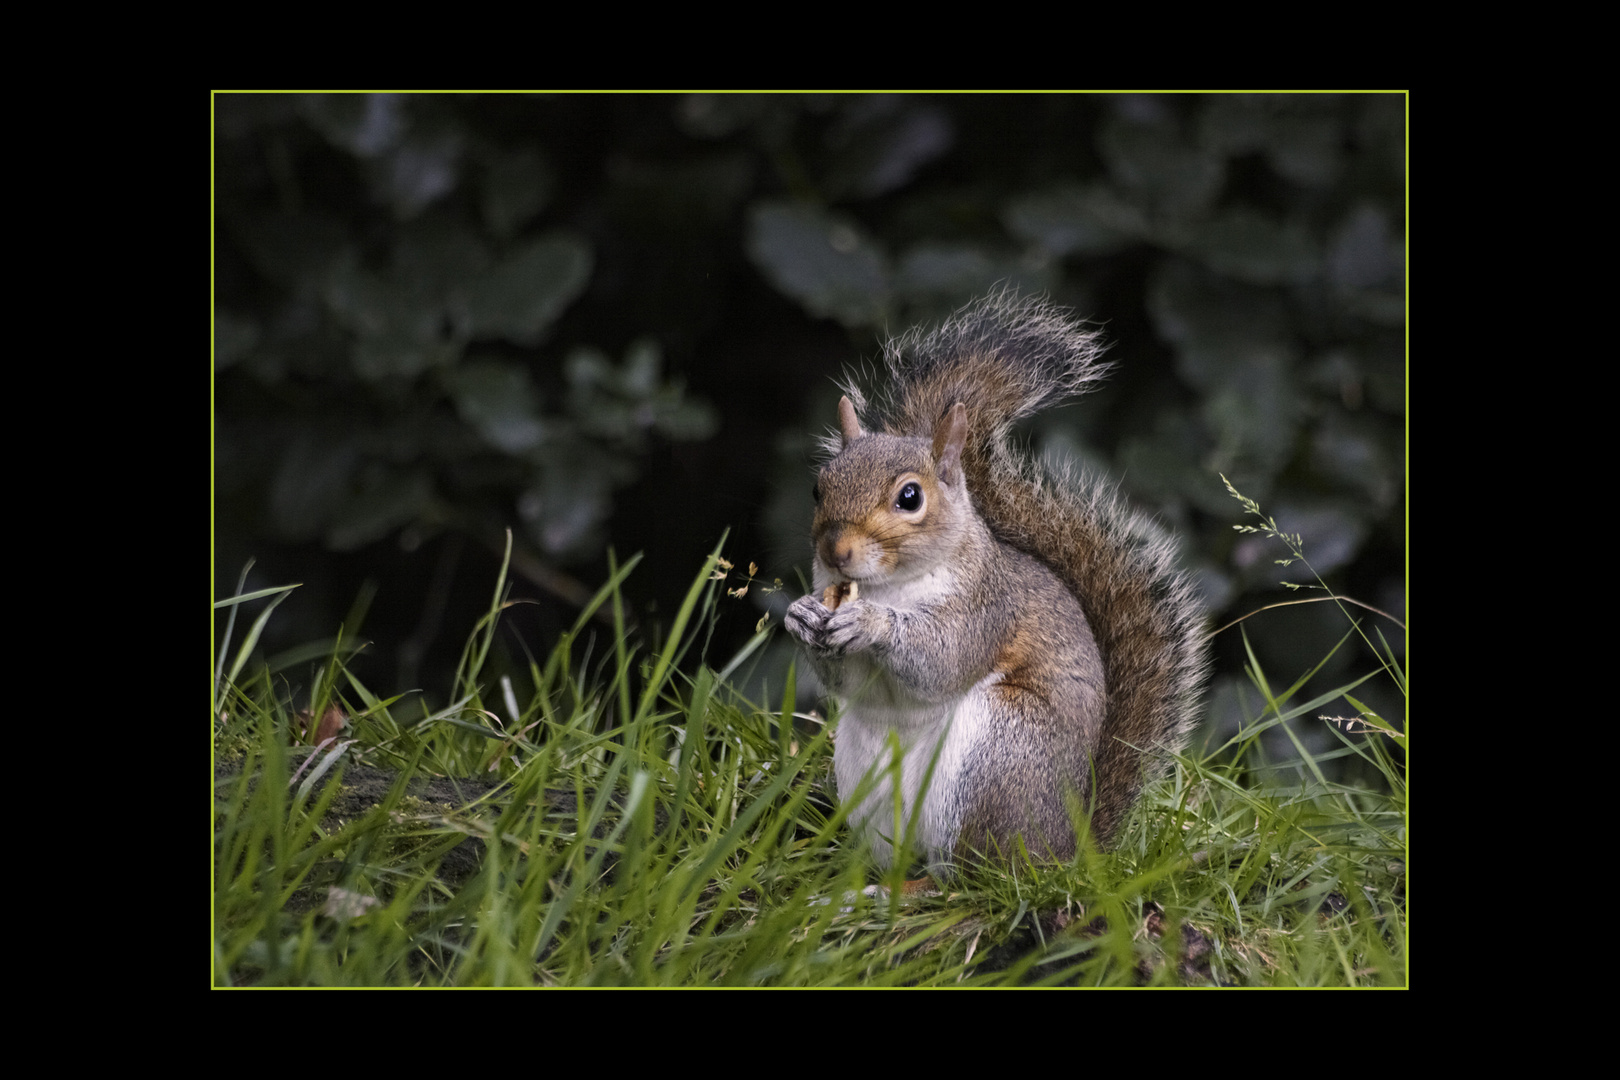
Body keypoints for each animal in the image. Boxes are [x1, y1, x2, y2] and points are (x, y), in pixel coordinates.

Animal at [777, 291, 1211, 874]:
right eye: (818, 488)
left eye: (910, 497)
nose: (835, 552)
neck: (893, 583)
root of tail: (1068, 851)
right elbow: (844, 682)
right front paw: (800, 615)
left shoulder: (986, 608)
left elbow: (943, 659)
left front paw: (872, 623)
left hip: (998, 754)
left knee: (974, 872)